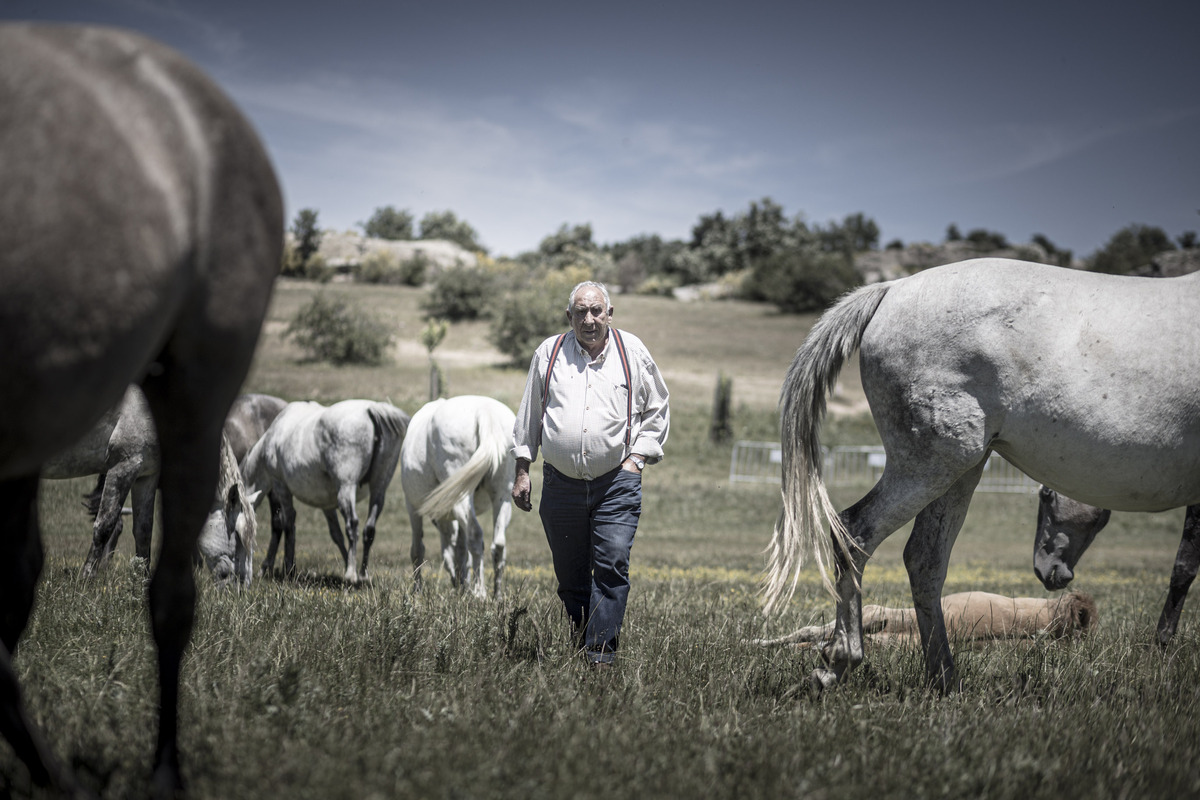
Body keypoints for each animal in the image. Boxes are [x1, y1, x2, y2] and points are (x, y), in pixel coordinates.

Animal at [0, 23, 282, 796]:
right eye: (237, 538)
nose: (242, 596)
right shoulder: (126, 467)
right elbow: (104, 527)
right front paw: (90, 583)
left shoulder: (152, 476)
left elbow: (143, 536)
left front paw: (119, 580)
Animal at [241, 398, 410, 582]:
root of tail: (371, 409)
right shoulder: (326, 504)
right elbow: (336, 534)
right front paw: (347, 560)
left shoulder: (281, 486)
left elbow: (287, 522)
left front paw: (287, 568)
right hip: (379, 488)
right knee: (369, 529)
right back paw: (362, 574)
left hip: (346, 487)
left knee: (353, 524)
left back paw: (351, 574)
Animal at [403, 398, 516, 597]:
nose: (455, 581)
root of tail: (484, 410)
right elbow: (461, 552)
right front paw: (463, 585)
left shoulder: (413, 508)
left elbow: (417, 550)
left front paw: (417, 591)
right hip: (502, 495)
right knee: (498, 545)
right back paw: (497, 595)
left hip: (462, 497)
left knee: (476, 536)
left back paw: (480, 592)